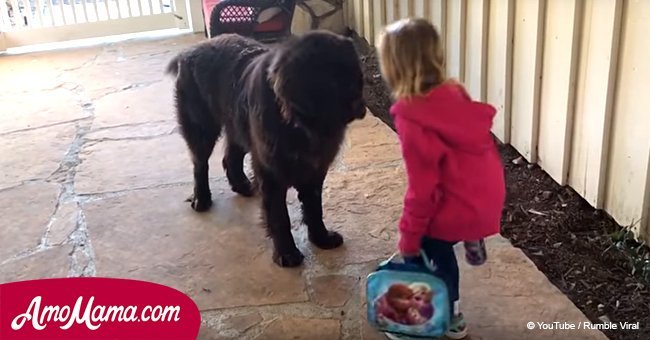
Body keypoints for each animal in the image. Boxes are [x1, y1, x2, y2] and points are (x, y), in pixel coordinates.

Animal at [165, 31, 364, 266]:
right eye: (332, 81)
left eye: (356, 76)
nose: (360, 105)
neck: (299, 125)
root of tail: (189, 51)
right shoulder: (271, 173)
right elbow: (279, 216)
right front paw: (287, 254)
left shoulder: (314, 170)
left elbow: (314, 208)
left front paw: (322, 238)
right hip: (201, 127)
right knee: (200, 163)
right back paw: (201, 199)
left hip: (238, 126)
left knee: (230, 157)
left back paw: (242, 186)